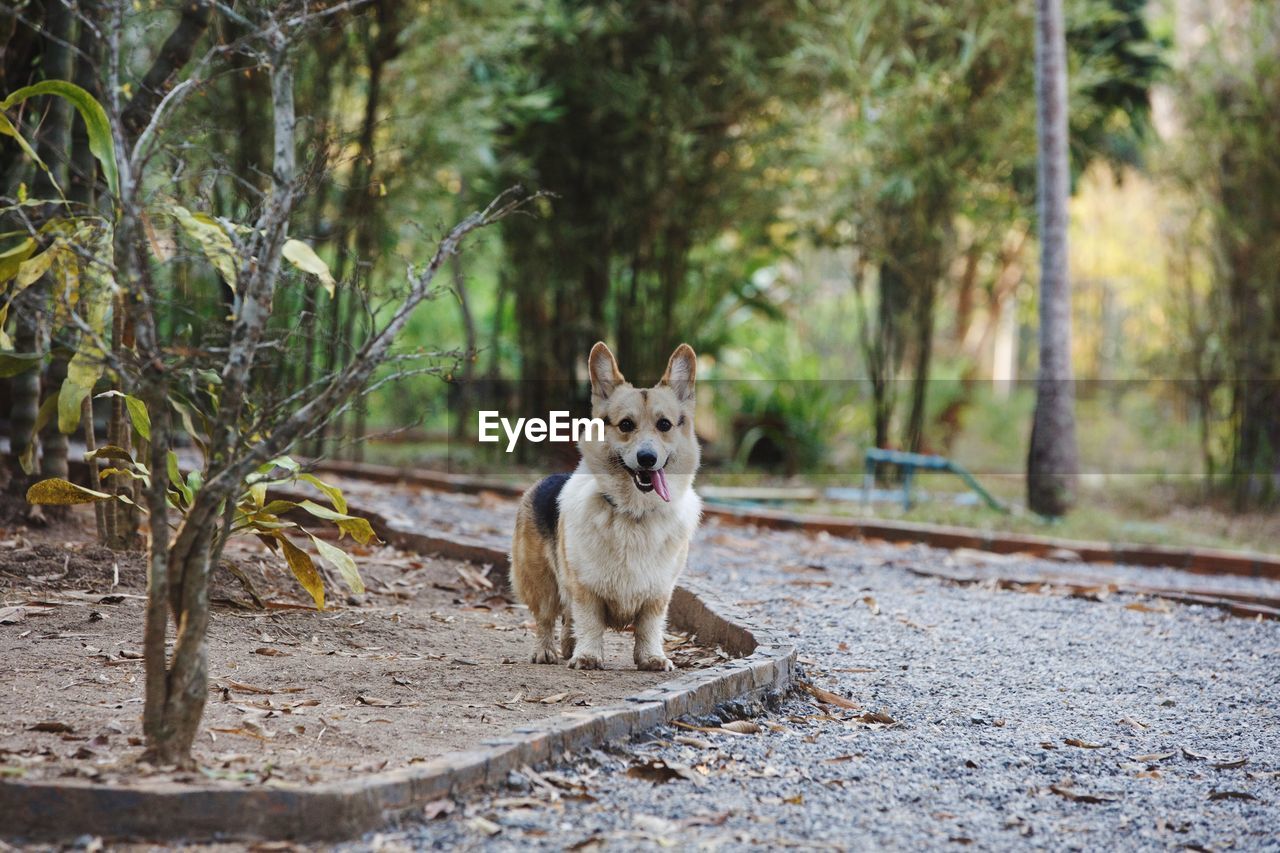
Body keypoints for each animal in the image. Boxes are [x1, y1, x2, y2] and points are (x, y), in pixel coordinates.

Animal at [506, 343, 701, 666]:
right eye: (626, 425)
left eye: (664, 425)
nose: (647, 458)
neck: (634, 511)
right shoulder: (585, 587)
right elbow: (590, 622)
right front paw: (588, 655)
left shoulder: (658, 593)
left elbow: (649, 627)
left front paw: (651, 658)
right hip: (541, 581)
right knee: (546, 618)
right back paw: (546, 651)